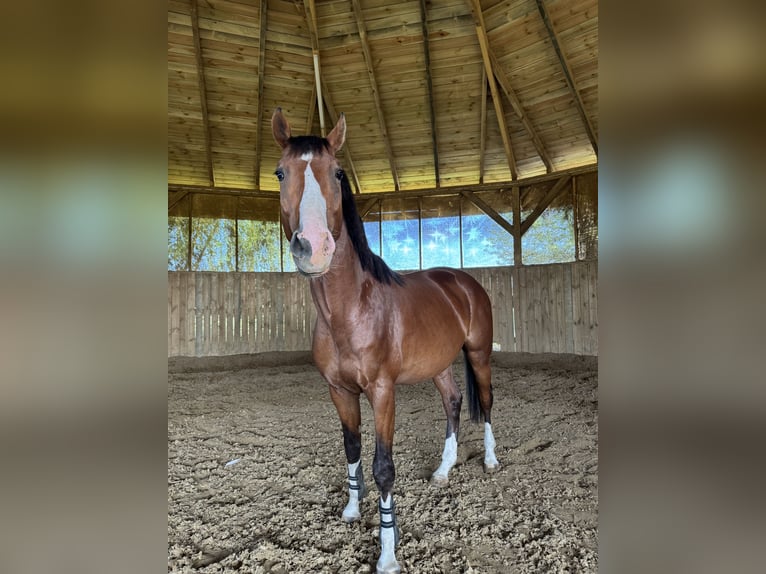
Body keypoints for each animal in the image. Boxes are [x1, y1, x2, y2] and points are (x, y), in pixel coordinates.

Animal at [272, 109, 500, 574]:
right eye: (281, 172)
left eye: (338, 173)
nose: (313, 248)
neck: (350, 309)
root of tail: (464, 281)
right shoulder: (339, 391)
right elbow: (351, 447)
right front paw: (350, 510)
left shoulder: (382, 392)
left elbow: (383, 468)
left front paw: (388, 554)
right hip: (439, 365)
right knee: (453, 402)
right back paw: (443, 471)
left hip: (478, 354)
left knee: (485, 402)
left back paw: (489, 460)